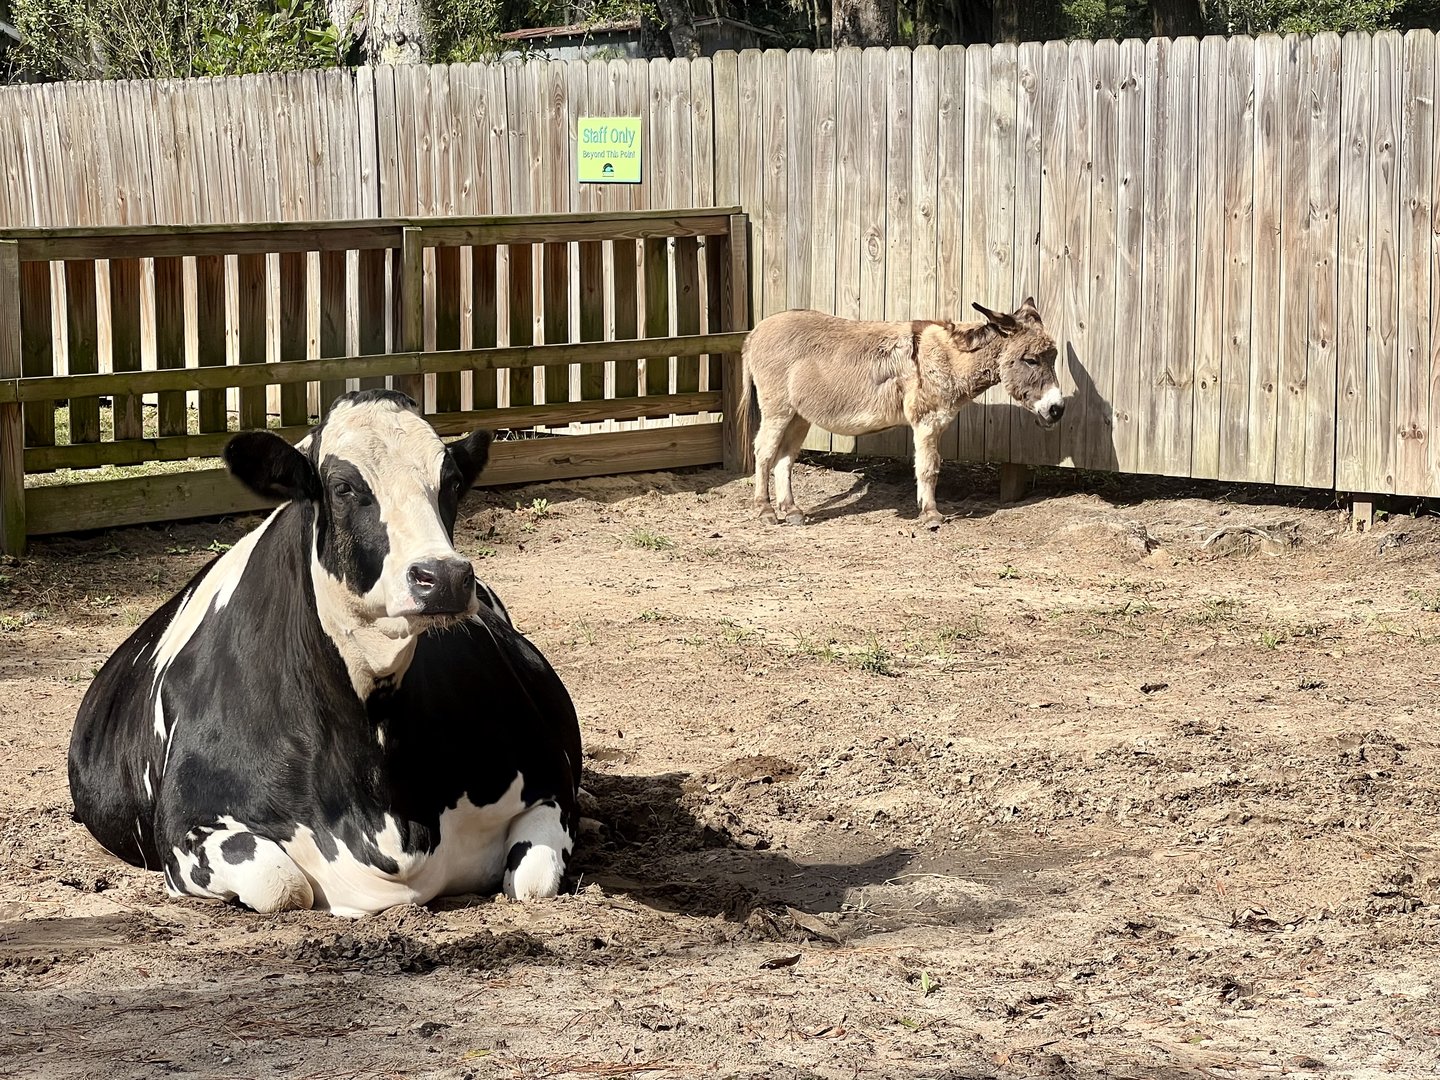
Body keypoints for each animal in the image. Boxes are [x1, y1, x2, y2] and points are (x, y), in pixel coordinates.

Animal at [67, 389, 582, 918]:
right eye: (343, 487)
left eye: (453, 482)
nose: (443, 576)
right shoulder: (185, 829)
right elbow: (281, 884)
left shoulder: (550, 785)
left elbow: (533, 880)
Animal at [741, 299, 1065, 529]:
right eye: (1031, 360)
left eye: (1054, 357)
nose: (1057, 409)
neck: (948, 358)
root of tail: (754, 332)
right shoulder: (927, 420)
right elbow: (928, 467)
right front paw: (932, 515)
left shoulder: (936, 422)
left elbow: (929, 465)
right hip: (777, 408)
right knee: (764, 451)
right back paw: (765, 510)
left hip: (799, 415)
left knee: (785, 457)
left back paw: (791, 510)